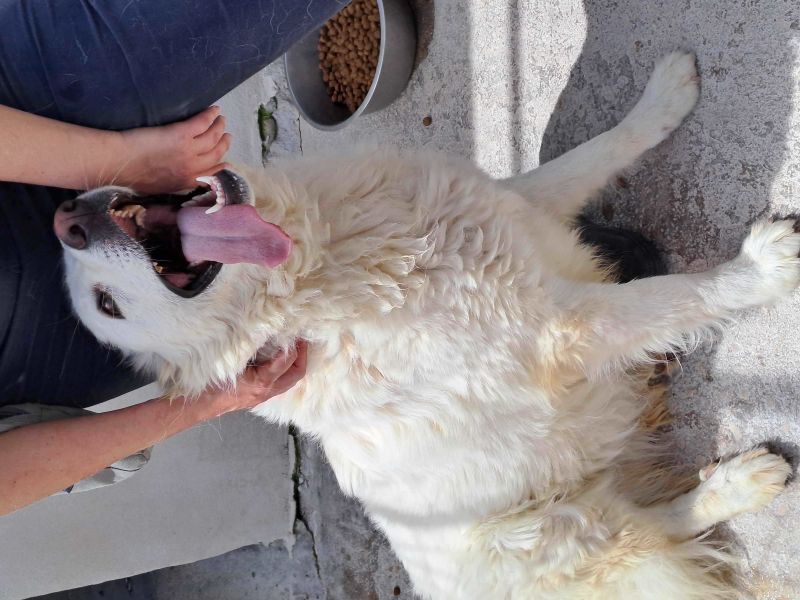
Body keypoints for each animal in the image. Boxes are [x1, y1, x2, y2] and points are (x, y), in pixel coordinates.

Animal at [54, 54, 792, 596]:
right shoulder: (559, 329)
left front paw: (664, 98)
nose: (69, 219)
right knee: (655, 533)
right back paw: (741, 482)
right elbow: (677, 297)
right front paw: (760, 271)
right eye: (107, 305)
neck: (327, 269)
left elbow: (599, 149)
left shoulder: (518, 204)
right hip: (555, 529)